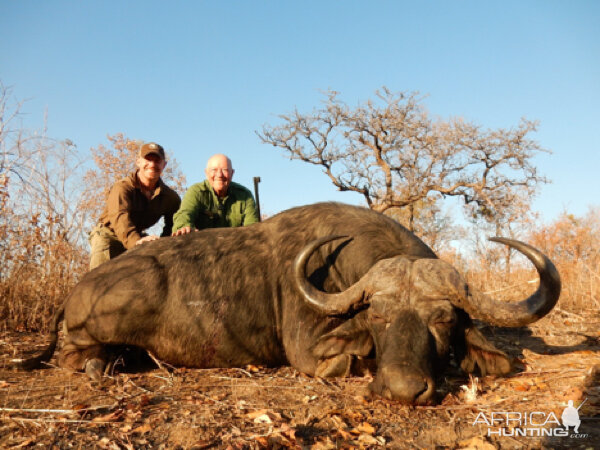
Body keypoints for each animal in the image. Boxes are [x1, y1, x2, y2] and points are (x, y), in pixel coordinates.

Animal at [19, 203, 564, 404]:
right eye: (379, 316)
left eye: (444, 319)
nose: (404, 390)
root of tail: (79, 289)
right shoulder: (312, 350)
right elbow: (343, 359)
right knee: (75, 357)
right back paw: (101, 365)